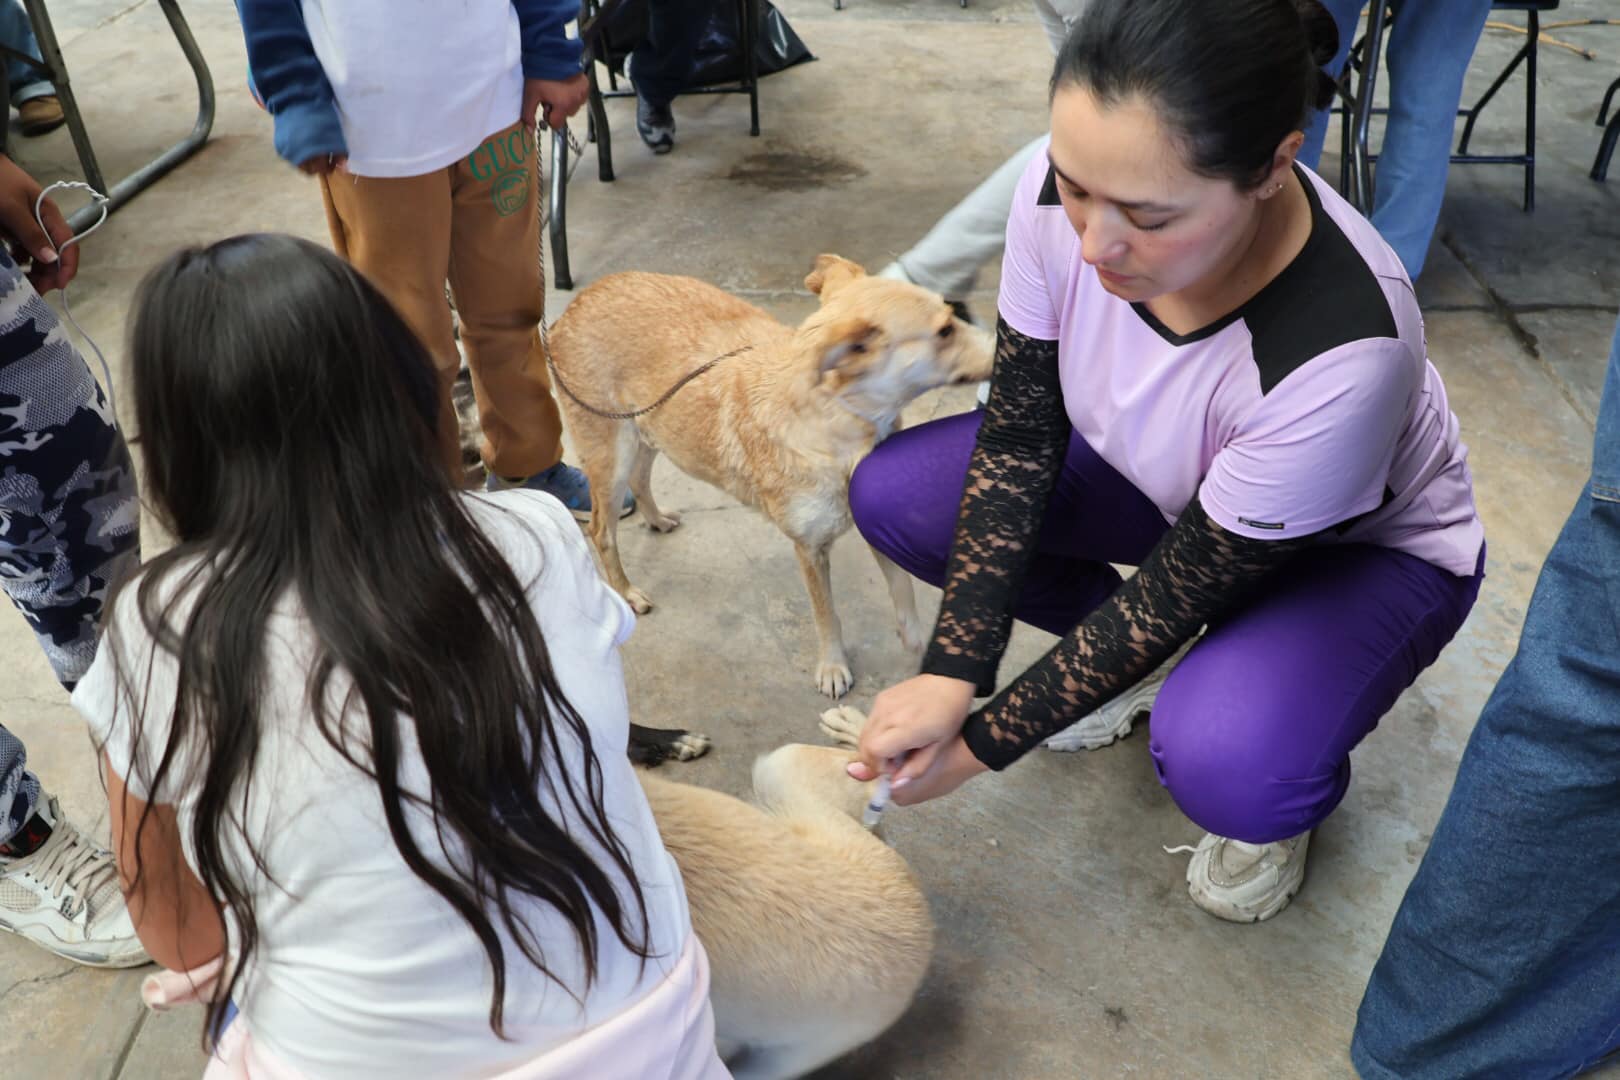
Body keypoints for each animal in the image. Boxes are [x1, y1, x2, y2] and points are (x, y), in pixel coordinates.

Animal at [550, 254, 991, 696]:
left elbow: (902, 589)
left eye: (954, 313)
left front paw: (918, 644)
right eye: (945, 330)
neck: (838, 424)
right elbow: (826, 614)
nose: (1002, 344)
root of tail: (570, 311)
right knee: (602, 531)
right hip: (612, 455)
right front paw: (833, 665)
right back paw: (626, 591)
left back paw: (656, 519)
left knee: (641, 479)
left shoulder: (875, 522)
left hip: (651, 429)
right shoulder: (809, 549)